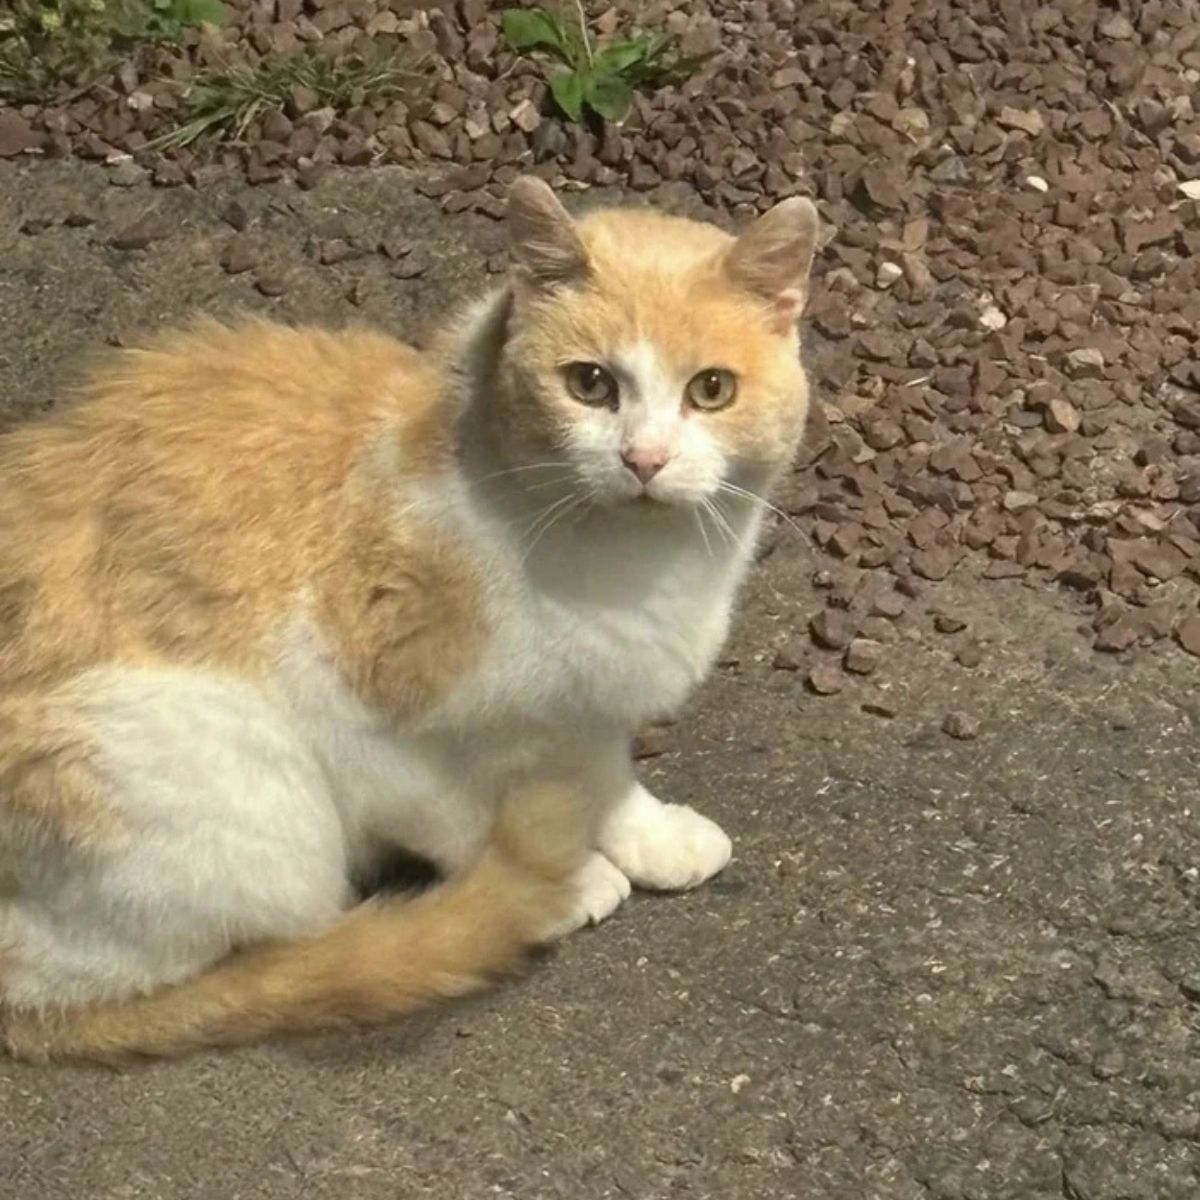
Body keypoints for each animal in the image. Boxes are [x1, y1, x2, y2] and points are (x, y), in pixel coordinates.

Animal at [0, 177, 816, 1060]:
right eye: (591, 384)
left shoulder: (593, 698)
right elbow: (459, 817)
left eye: (711, 390)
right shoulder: (362, 722)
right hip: (232, 789)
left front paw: (649, 835)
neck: (625, 569)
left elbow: (605, 769)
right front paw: (555, 882)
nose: (645, 459)